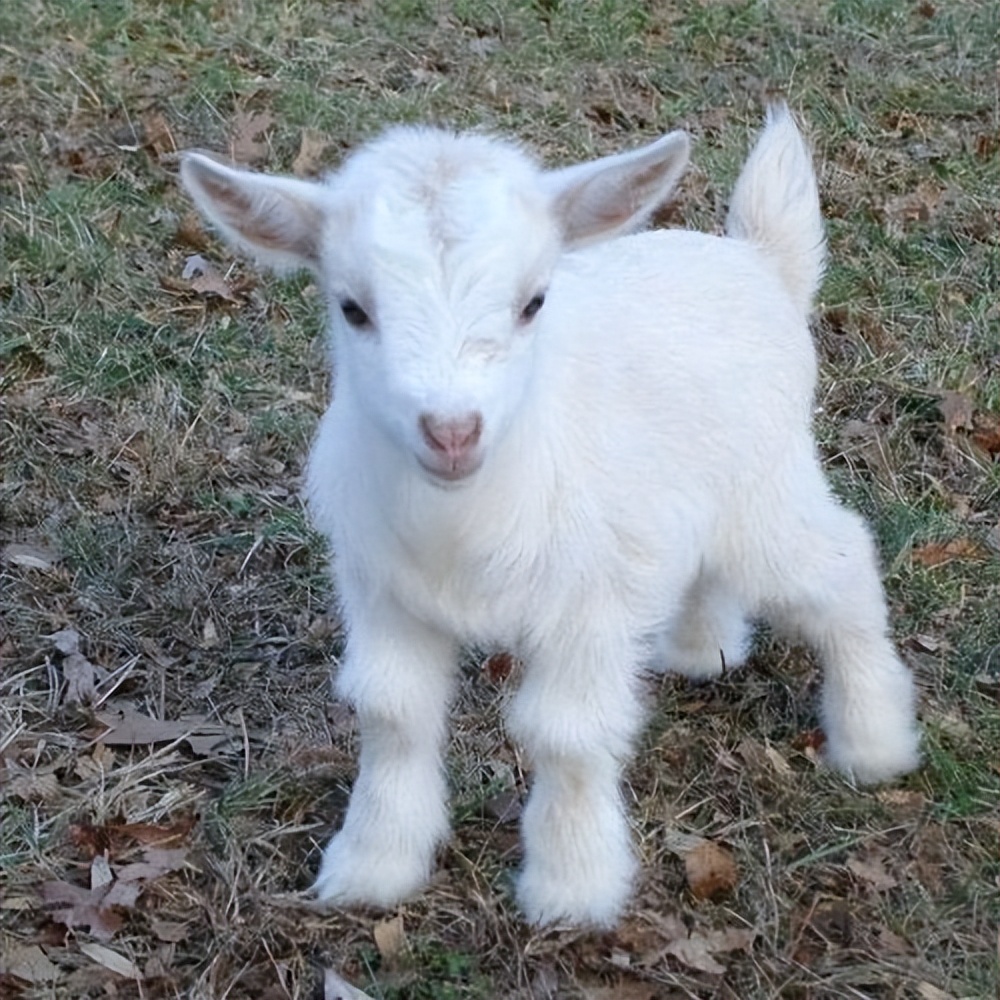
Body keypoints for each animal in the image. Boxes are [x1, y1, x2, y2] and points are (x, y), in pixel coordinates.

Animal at [182, 103, 920, 928]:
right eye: (353, 308)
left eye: (534, 301)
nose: (451, 432)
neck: (465, 523)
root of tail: (760, 261)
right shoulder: (383, 589)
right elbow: (393, 713)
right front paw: (373, 865)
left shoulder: (589, 603)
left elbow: (565, 734)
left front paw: (571, 889)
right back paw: (705, 651)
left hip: (766, 492)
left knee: (841, 563)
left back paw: (872, 740)